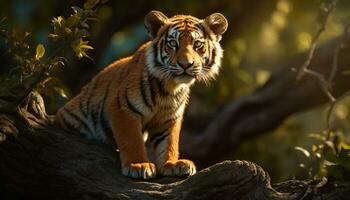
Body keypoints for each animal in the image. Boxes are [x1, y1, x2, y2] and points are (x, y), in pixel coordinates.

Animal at [56, 10, 228, 180]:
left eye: (197, 44)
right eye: (173, 43)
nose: (185, 64)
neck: (170, 88)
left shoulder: (169, 118)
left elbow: (169, 143)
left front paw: (172, 164)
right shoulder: (122, 108)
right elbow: (131, 139)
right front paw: (138, 165)